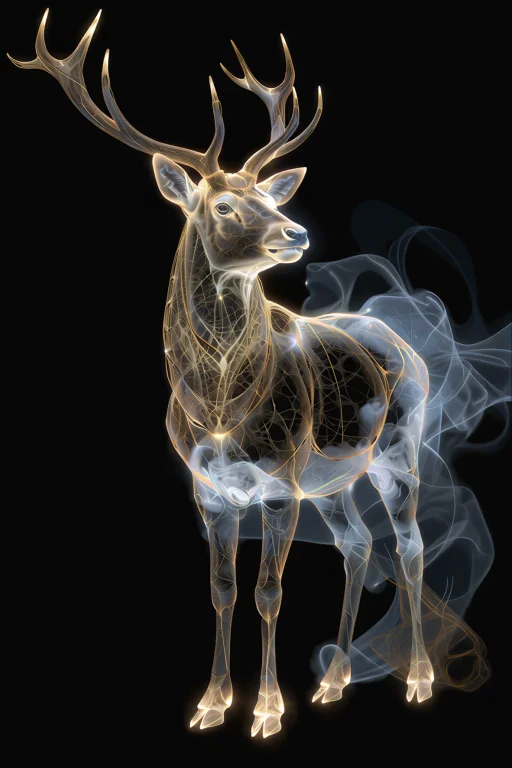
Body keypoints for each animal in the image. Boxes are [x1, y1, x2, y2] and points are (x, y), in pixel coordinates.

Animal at [9, 10, 434, 739]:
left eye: (267, 194)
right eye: (224, 206)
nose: (296, 233)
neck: (218, 412)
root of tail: (411, 348)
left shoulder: (280, 483)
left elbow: (269, 592)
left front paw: (266, 709)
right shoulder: (208, 489)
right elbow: (222, 589)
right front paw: (211, 703)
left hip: (397, 452)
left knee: (409, 548)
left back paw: (419, 679)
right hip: (334, 477)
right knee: (356, 546)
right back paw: (334, 682)